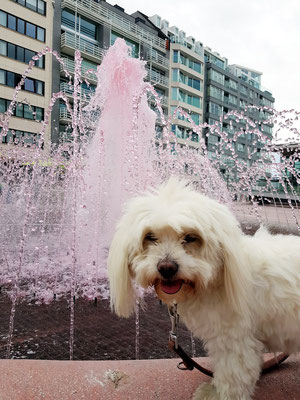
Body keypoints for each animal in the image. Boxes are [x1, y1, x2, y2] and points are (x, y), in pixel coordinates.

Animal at [108, 179, 300, 400]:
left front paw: (218, 394)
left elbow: (232, 375)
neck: (214, 279)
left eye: (190, 238)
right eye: (150, 237)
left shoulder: (235, 339)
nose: (166, 267)